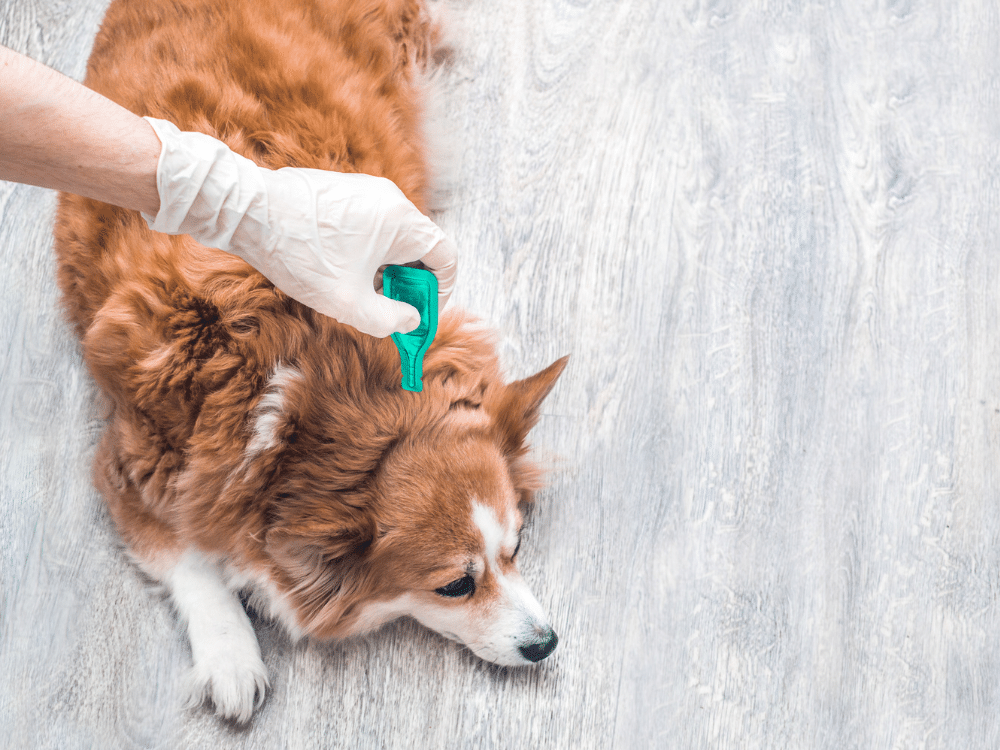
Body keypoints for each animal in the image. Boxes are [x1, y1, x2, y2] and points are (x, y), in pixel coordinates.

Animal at [54, 0, 568, 724]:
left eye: (516, 550)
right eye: (455, 586)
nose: (546, 643)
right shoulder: (129, 464)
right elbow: (190, 558)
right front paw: (231, 658)